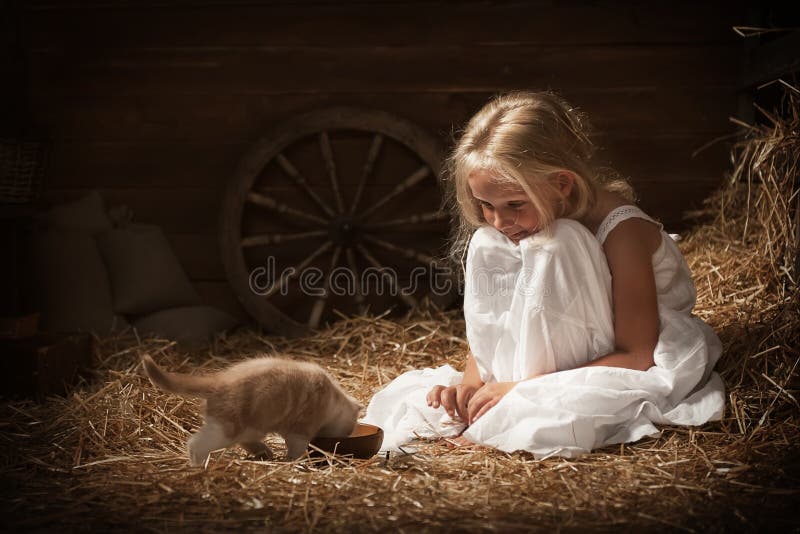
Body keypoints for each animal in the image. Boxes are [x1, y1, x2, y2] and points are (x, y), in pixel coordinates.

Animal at [141, 356, 360, 464]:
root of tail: (218, 382)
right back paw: (198, 467)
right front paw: (294, 461)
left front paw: (267, 453)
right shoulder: (299, 430)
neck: (334, 400)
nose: (347, 435)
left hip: (246, 426)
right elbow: (297, 449)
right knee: (196, 445)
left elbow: (251, 444)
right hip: (227, 430)